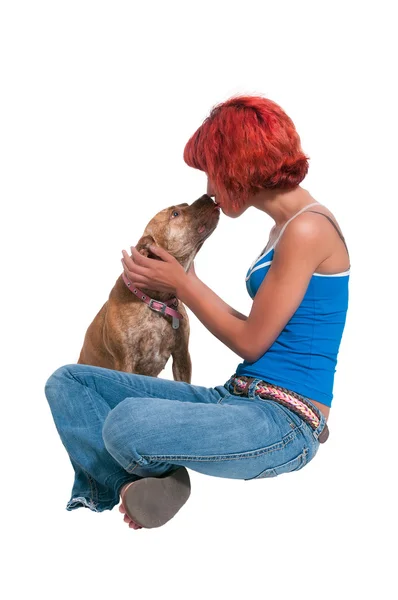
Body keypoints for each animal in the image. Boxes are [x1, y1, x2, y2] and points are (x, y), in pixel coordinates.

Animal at [77, 197, 221, 384]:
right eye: (175, 214)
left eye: (184, 205)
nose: (207, 197)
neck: (155, 300)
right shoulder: (125, 361)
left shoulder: (182, 355)